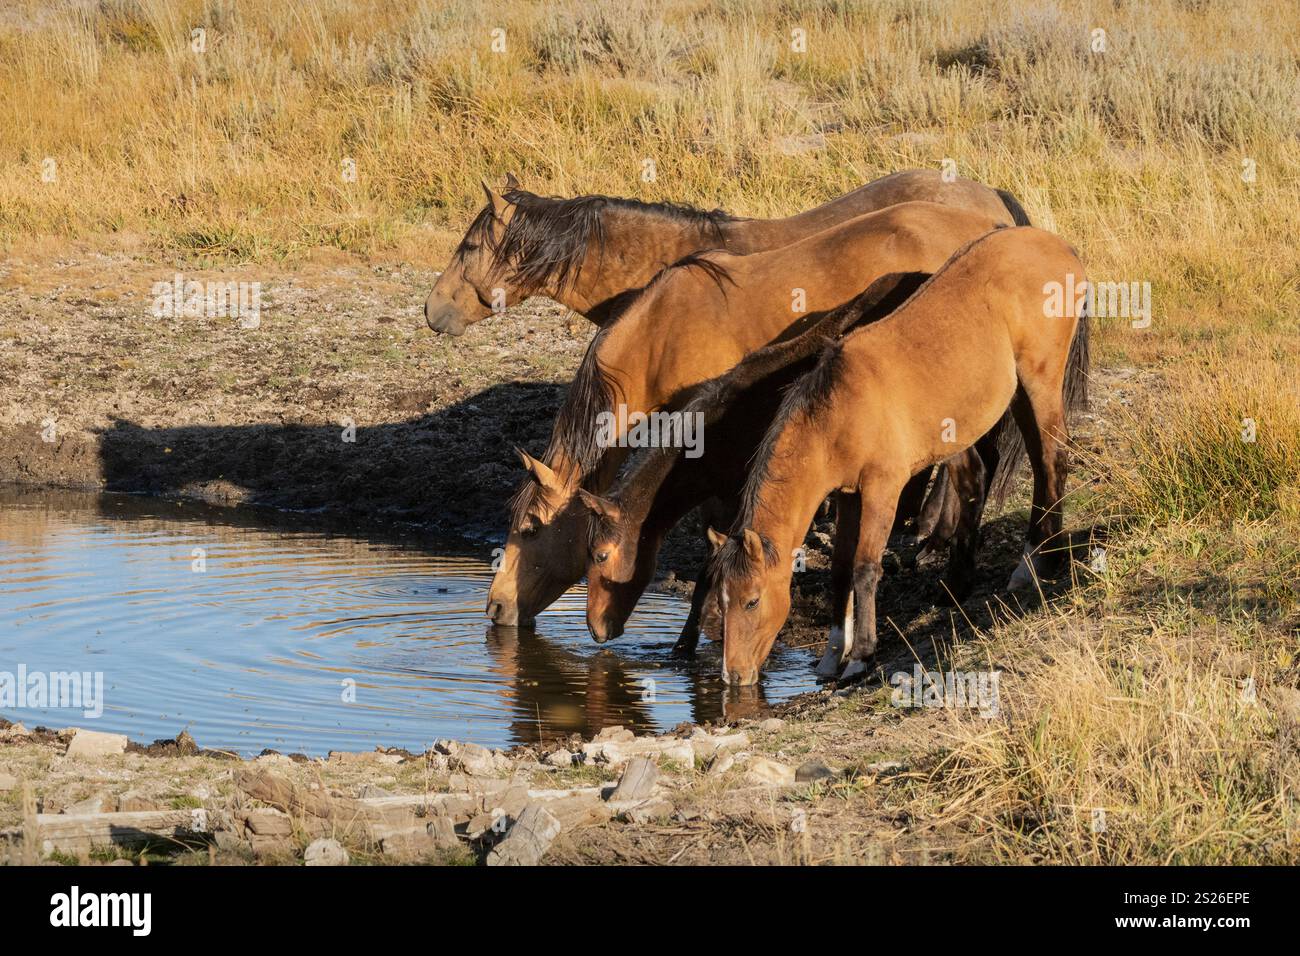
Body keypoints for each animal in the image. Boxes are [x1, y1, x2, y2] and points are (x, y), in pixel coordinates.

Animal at [706, 226, 1090, 686]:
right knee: (1026, 465)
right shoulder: (849, 495)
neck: (838, 410)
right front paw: (832, 656)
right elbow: (840, 568)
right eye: (722, 600)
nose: (733, 675)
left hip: (1040, 382)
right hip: (1015, 395)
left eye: (752, 600)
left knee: (1052, 461)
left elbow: (865, 567)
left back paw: (1036, 563)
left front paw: (861, 656)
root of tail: (1058, 246)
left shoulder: (882, 489)